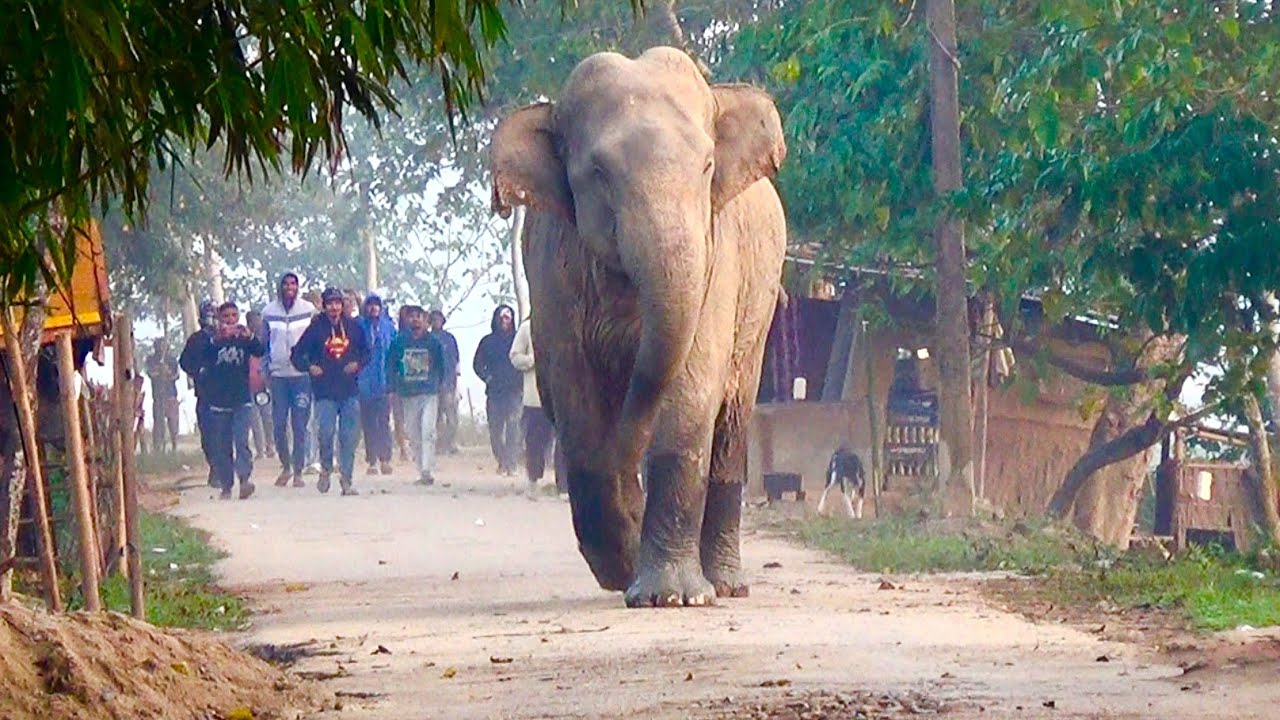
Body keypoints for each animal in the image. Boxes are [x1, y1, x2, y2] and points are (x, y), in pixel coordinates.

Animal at [490, 47, 787, 607]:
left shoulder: (719, 260)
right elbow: (577, 403)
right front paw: (621, 569)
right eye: (598, 172)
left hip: (758, 308)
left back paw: (725, 585)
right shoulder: (553, 271)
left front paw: (672, 596)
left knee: (731, 421)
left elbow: (691, 392)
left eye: (707, 166)